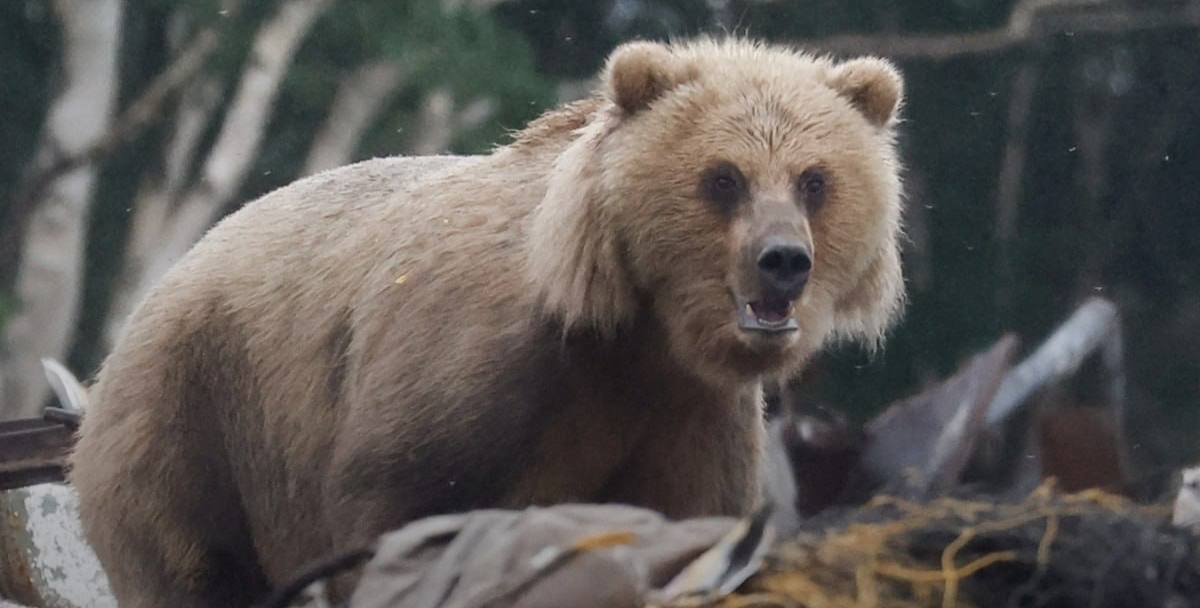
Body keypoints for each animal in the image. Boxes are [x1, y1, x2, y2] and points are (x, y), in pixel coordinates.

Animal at [68, 37, 907, 607]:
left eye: (815, 180)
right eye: (724, 177)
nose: (783, 261)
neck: (637, 335)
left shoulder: (687, 418)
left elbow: (684, 520)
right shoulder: (470, 375)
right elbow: (398, 506)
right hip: (195, 416)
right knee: (190, 565)